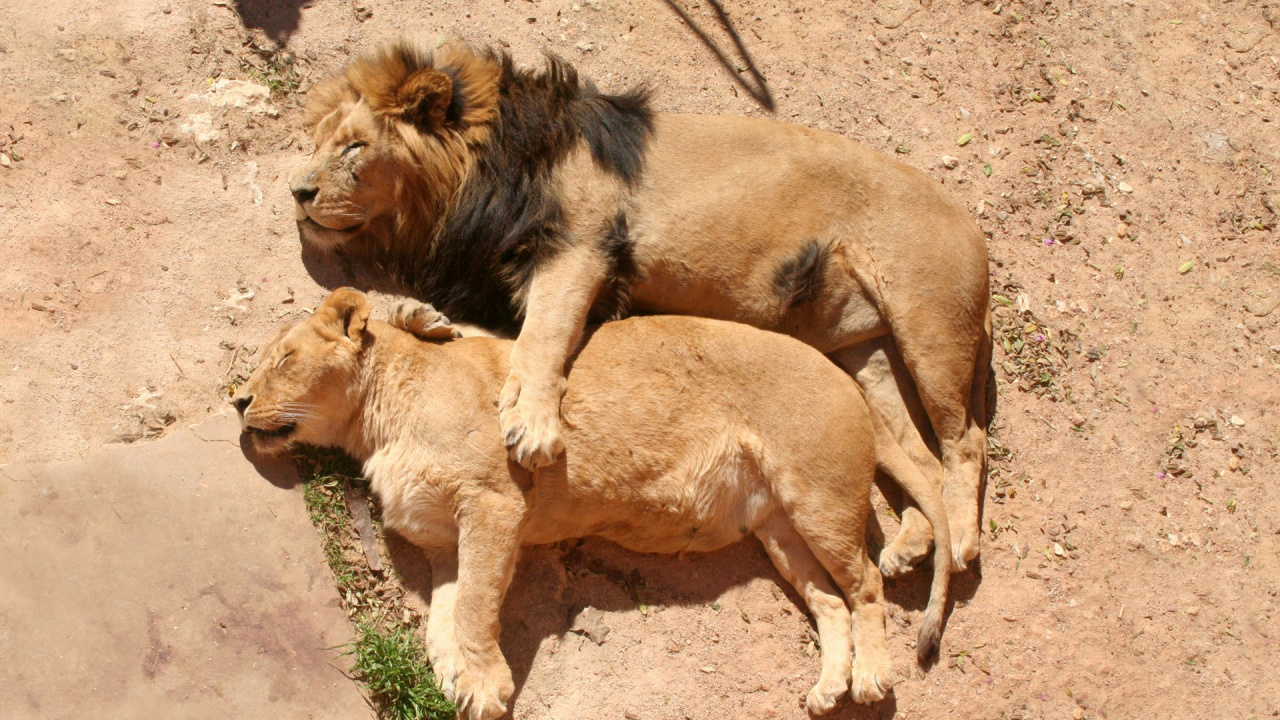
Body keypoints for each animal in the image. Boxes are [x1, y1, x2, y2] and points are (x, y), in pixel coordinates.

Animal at [232, 289, 952, 720]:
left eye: (284, 359)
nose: (238, 401)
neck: (375, 425)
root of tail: (846, 379)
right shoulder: (441, 543)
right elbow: (441, 619)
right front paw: (454, 678)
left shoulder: (493, 505)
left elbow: (474, 607)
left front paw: (486, 685)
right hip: (778, 529)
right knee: (830, 599)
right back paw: (830, 686)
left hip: (819, 500)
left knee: (865, 583)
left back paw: (871, 679)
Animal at [289, 43, 992, 572]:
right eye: (316, 143)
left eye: (353, 147)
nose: (297, 190)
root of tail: (971, 221)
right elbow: (501, 338)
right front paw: (425, 321)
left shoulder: (582, 246)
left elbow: (542, 336)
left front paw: (533, 425)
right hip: (863, 354)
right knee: (918, 456)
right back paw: (912, 544)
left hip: (930, 327)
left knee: (965, 441)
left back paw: (958, 542)